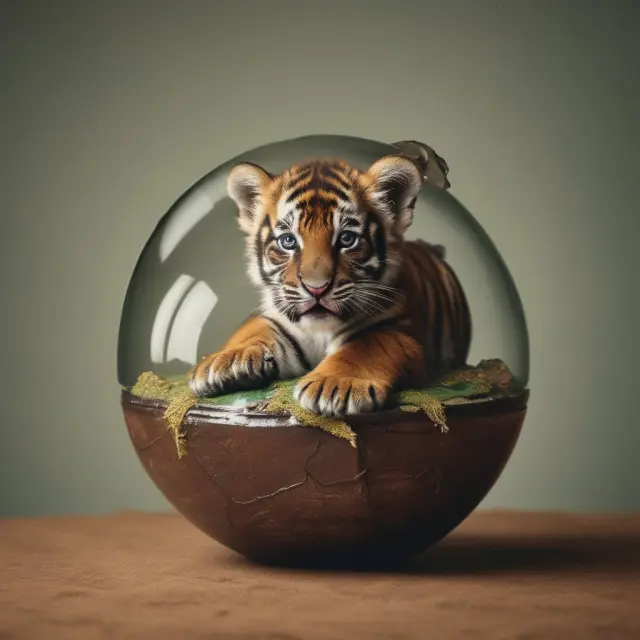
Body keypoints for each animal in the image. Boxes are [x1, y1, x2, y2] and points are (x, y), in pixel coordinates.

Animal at [189, 150, 472, 417]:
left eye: (346, 239)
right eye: (288, 241)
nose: (317, 288)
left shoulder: (400, 331)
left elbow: (367, 346)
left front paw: (335, 384)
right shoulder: (277, 318)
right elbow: (252, 329)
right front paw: (224, 361)